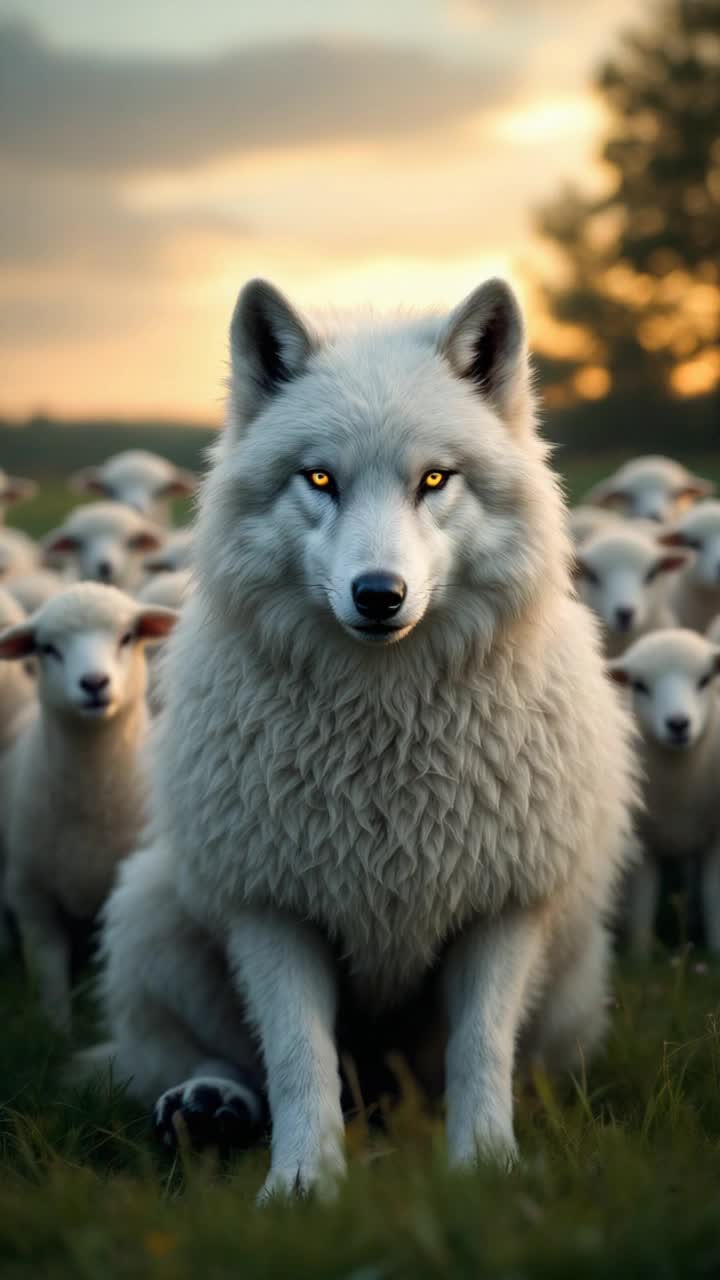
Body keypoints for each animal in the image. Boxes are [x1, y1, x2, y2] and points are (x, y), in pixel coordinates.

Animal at [0, 583, 177, 1030]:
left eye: (127, 637)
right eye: (47, 648)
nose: (94, 682)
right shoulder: (32, 897)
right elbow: (48, 974)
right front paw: (59, 1032)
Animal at [81, 278, 636, 1200]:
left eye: (435, 480)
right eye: (320, 479)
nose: (379, 595)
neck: (385, 725)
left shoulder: (503, 911)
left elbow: (480, 1051)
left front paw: (486, 1171)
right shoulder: (270, 910)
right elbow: (297, 1058)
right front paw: (302, 1187)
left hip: (573, 973)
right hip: (153, 912)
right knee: (203, 1057)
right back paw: (205, 1108)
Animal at [609, 629, 720, 956]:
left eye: (705, 680)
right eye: (640, 685)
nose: (678, 724)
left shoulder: (716, 839)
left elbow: (714, 897)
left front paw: (716, 951)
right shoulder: (643, 839)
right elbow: (643, 903)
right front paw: (639, 955)